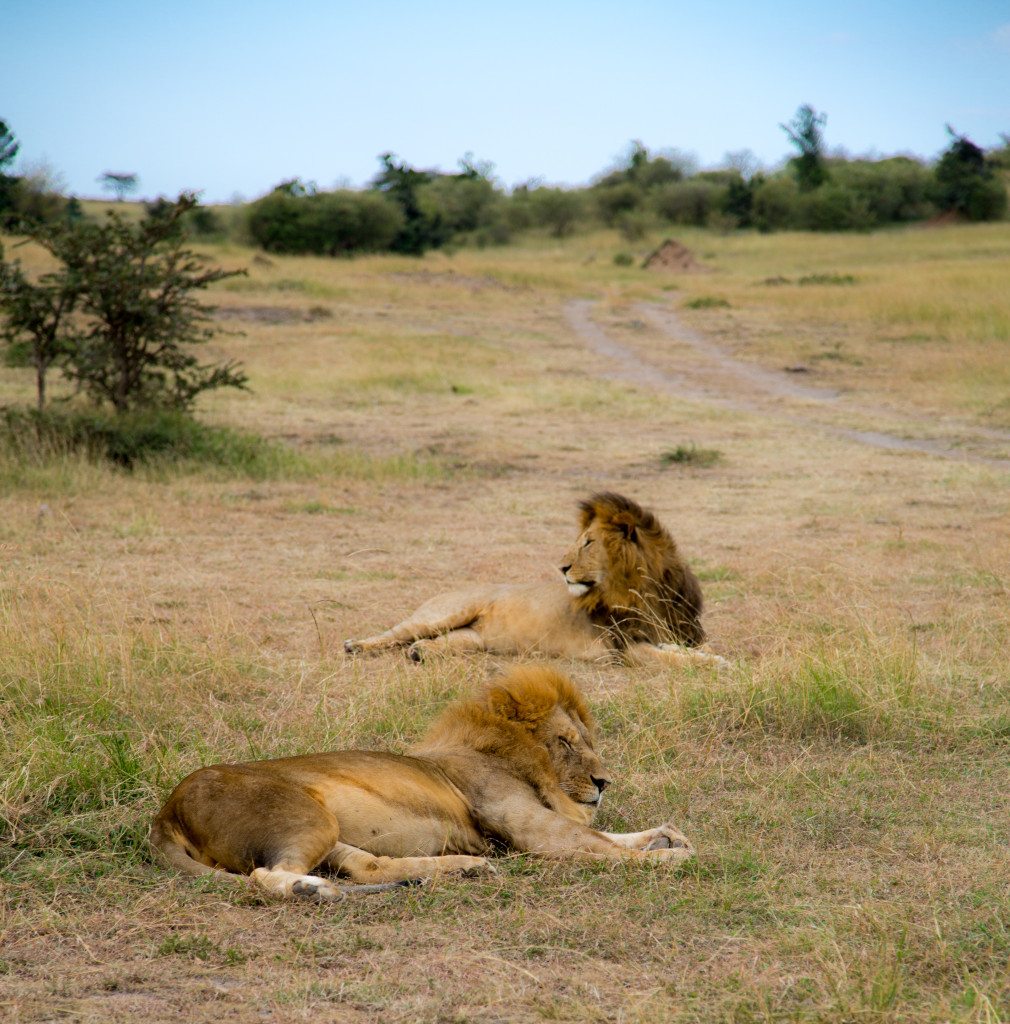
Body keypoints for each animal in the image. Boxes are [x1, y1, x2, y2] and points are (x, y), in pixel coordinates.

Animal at [149, 663, 692, 897]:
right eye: (565, 742)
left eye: (586, 739)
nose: (604, 782)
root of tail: (166, 810)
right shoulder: (528, 824)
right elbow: (600, 845)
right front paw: (669, 858)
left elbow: (607, 834)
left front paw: (664, 836)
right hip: (306, 816)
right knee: (268, 876)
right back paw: (311, 889)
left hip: (329, 831)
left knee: (365, 868)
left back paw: (459, 869)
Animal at [342, 489, 721, 667]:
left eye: (588, 543)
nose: (562, 568)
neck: (645, 591)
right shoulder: (623, 650)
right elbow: (672, 658)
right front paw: (718, 665)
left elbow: (684, 649)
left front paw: (711, 657)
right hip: (444, 612)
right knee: (396, 633)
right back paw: (356, 645)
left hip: (473, 639)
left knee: (434, 642)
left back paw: (420, 653)